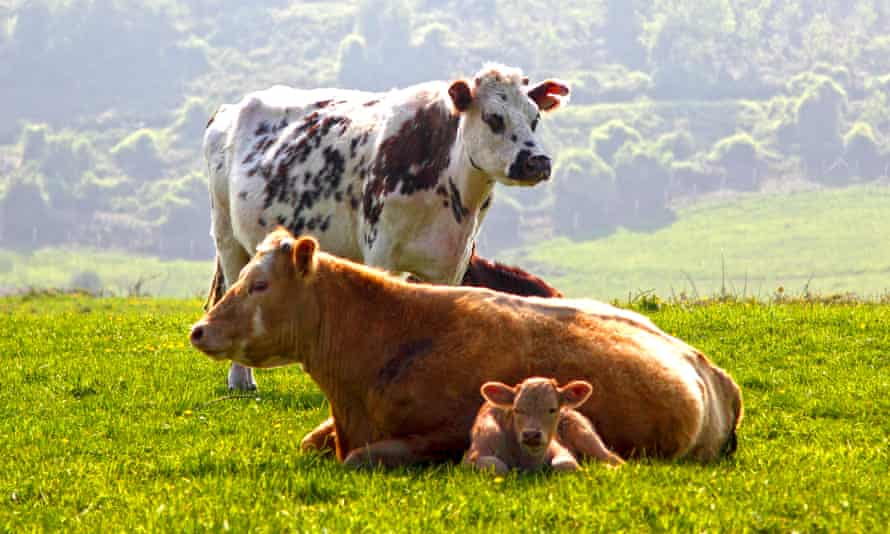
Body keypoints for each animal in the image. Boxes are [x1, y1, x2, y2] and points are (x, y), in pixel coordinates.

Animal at [202, 63, 571, 390]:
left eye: (535, 118)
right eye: (493, 117)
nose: (537, 161)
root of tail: (230, 109)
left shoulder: (452, 264)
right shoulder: (380, 252)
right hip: (226, 233)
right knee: (233, 285)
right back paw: (240, 379)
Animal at [464, 377, 623, 474]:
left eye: (552, 409)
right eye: (517, 409)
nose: (531, 435)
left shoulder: (560, 449)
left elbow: (564, 464)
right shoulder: (471, 457)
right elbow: (497, 466)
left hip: (585, 435)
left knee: (615, 459)